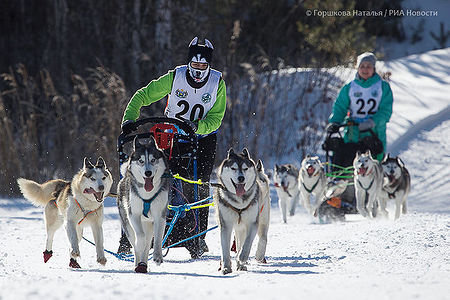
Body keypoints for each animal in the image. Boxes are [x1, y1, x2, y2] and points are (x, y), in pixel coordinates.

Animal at [118, 137, 171, 274]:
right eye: (141, 161)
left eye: (153, 160)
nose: (148, 173)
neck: (147, 195)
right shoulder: (133, 215)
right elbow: (140, 238)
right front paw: (139, 245)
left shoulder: (160, 216)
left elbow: (157, 238)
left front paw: (157, 256)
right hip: (127, 226)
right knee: (138, 243)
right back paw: (138, 263)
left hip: (149, 225)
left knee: (147, 245)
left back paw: (143, 264)